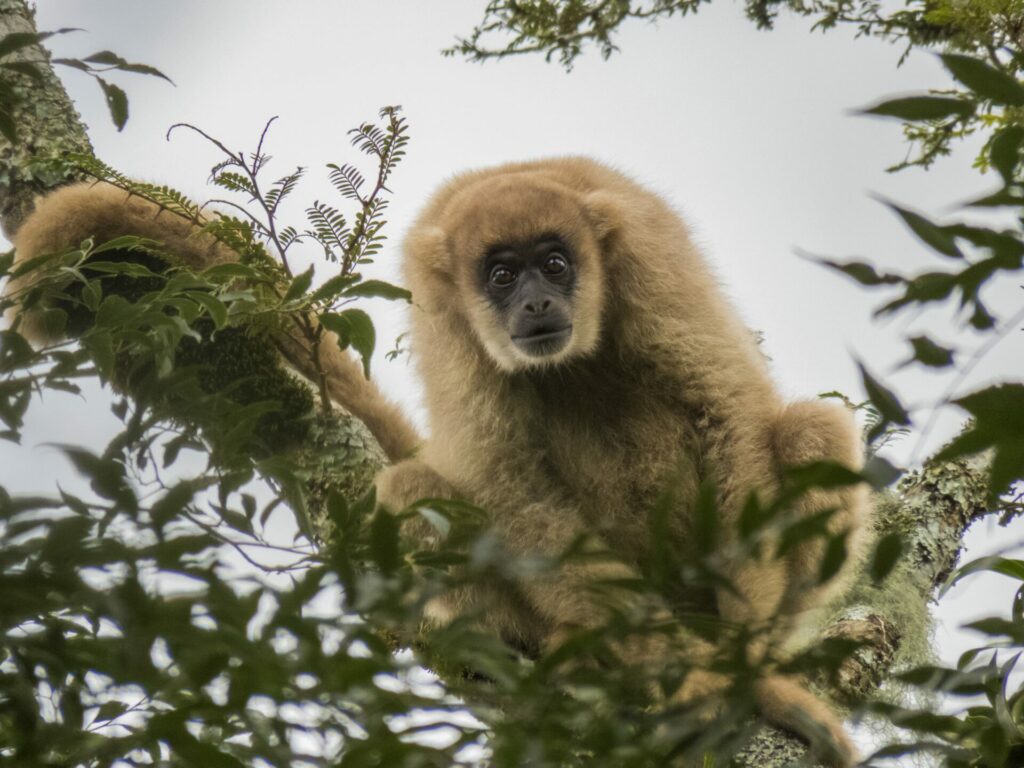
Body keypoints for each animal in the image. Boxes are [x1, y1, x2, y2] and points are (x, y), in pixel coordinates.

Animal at [376, 156, 872, 765]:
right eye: (502, 277)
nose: (536, 303)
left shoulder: (648, 250)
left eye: (555, 264)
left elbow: (727, 410)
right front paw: (698, 681)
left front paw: (745, 673)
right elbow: (510, 483)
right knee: (409, 488)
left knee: (813, 432)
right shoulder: (439, 309)